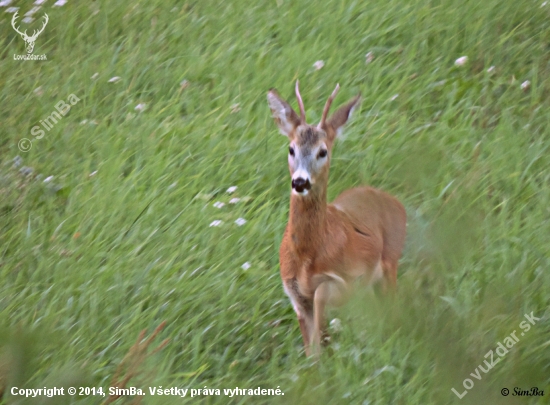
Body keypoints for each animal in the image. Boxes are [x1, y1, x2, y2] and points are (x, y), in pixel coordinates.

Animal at [268, 80, 410, 356]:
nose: (300, 182)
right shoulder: (294, 292)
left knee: (393, 306)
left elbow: (321, 307)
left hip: (390, 261)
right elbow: (311, 348)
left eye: (322, 152)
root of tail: (393, 201)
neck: (307, 256)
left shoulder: (343, 281)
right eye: (291, 148)